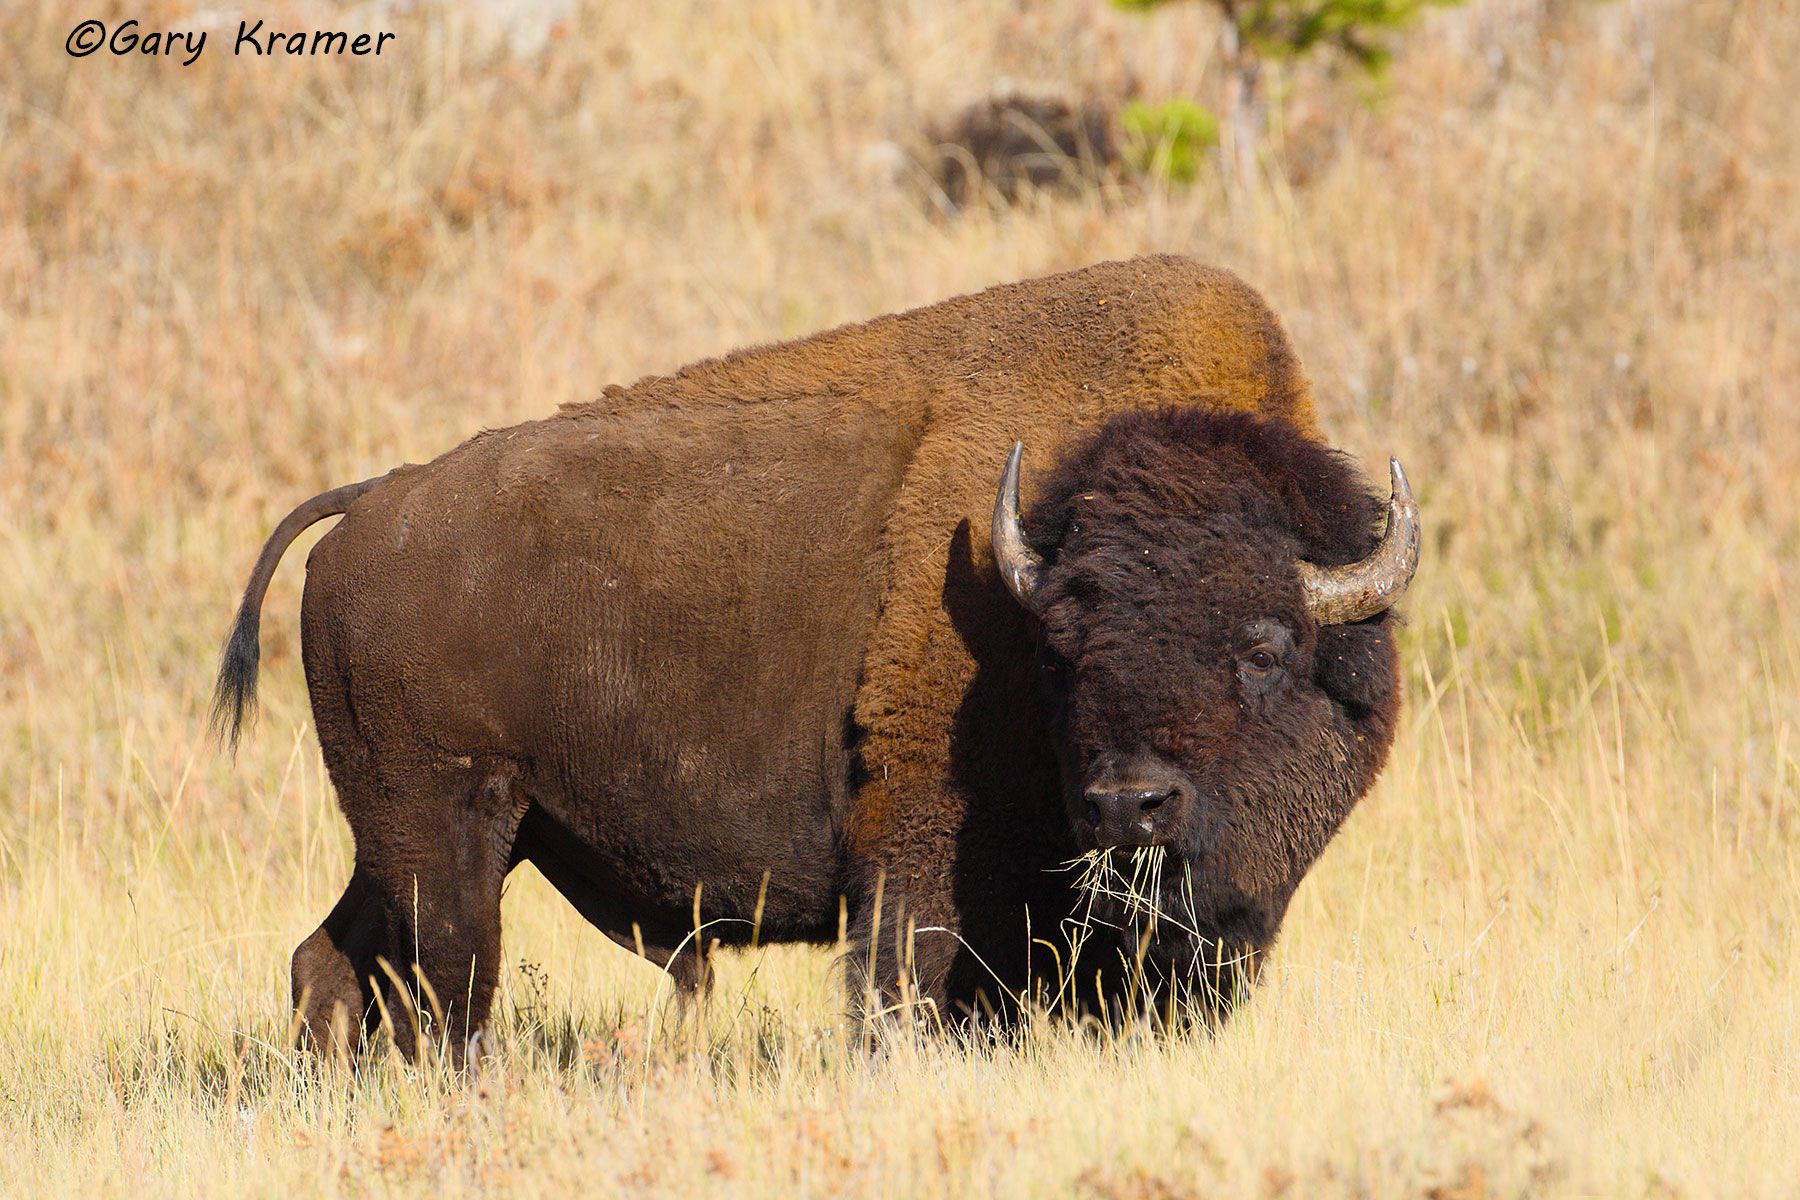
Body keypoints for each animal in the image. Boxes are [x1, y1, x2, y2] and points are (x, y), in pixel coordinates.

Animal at [212, 255, 1418, 1059]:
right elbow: (902, 991)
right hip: (444, 830)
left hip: (430, 834)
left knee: (334, 963)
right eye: (1060, 650)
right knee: (447, 990)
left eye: (1264, 648)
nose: (1131, 806)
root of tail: (377, 500)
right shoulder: (922, 865)